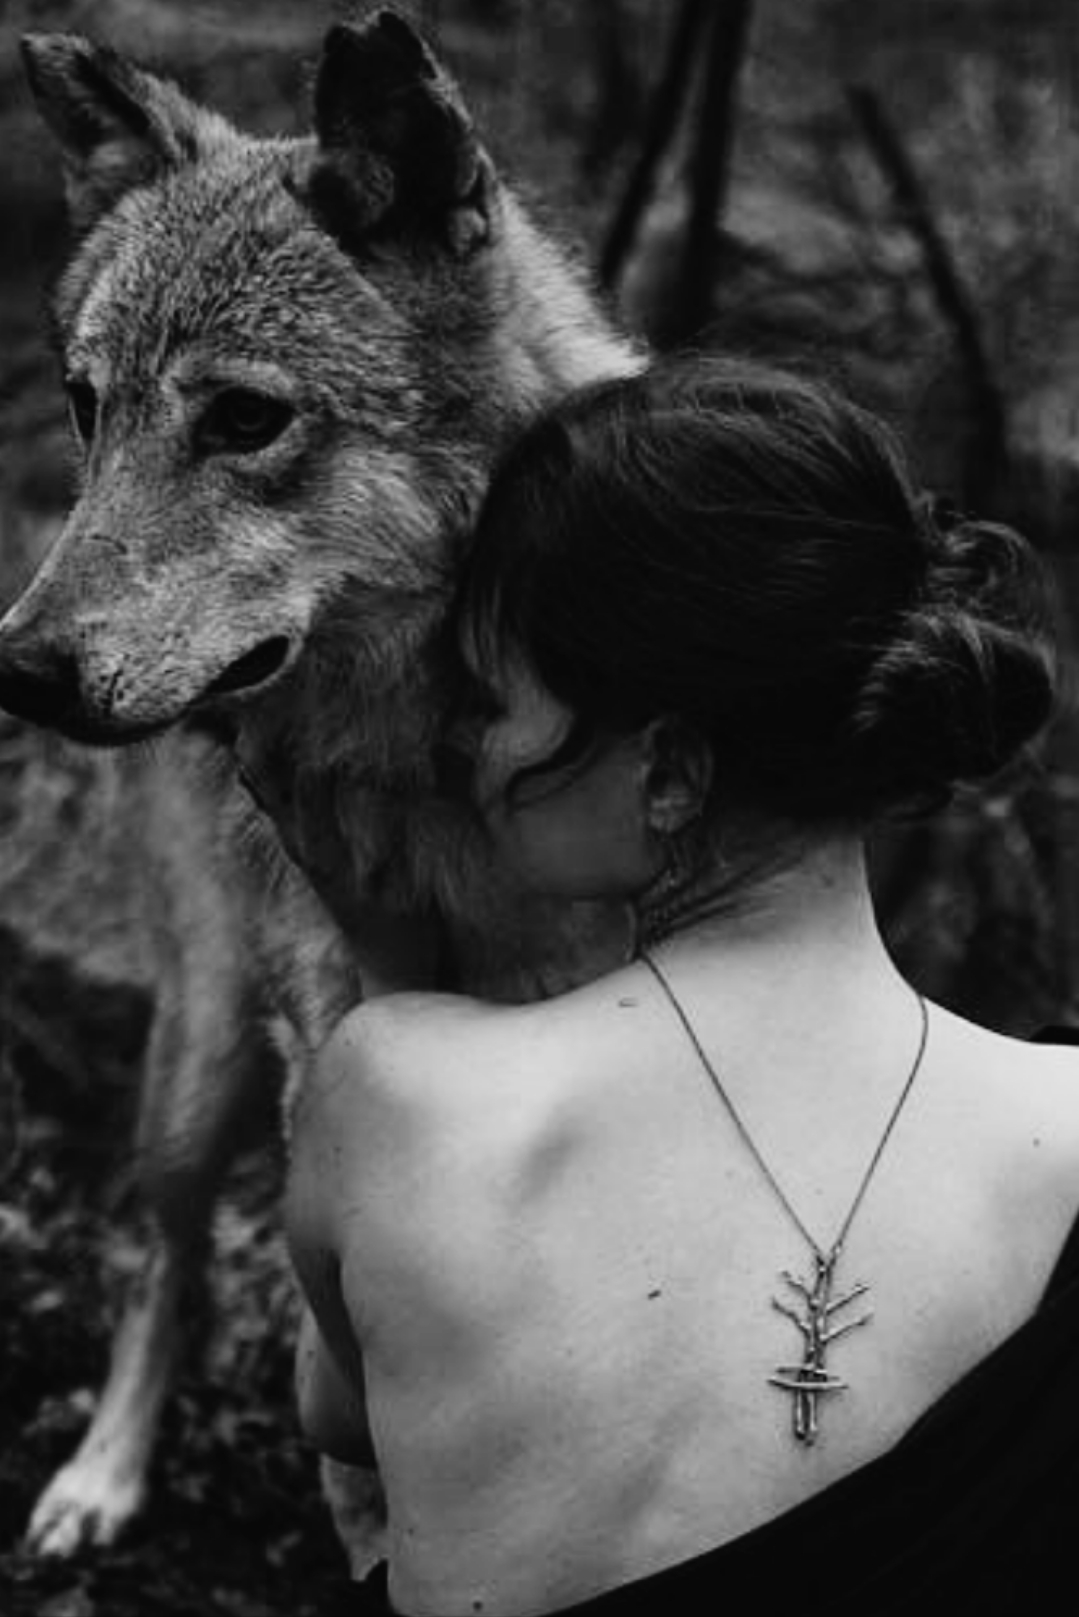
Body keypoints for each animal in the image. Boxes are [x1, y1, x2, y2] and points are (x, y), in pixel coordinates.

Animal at [0, 6, 639, 1565]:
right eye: (86, 406)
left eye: (243, 420)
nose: (19, 671)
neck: (456, 771)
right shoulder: (350, 1048)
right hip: (206, 1057)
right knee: (161, 1261)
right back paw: (99, 1480)